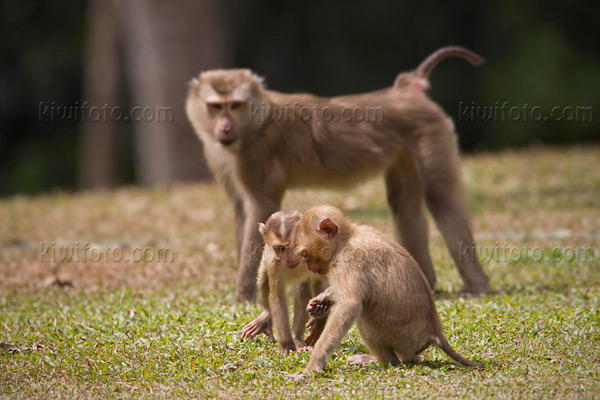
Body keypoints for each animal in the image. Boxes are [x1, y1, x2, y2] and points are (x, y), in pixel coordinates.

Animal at [186, 45, 488, 302]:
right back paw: (425, 282)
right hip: (404, 148)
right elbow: (241, 211)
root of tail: (406, 90)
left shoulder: (258, 154)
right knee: (405, 206)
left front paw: (245, 297)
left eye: (235, 105)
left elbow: (261, 208)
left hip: (429, 131)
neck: (255, 123)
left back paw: (476, 285)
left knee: (442, 199)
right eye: (216, 107)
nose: (225, 128)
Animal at [240, 211, 330, 352]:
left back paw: (297, 337)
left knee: (303, 287)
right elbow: (277, 297)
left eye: (295, 246)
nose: (289, 259)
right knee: (263, 282)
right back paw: (267, 317)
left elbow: (320, 282)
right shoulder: (273, 262)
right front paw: (287, 346)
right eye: (280, 248)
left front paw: (320, 316)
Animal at [292, 205, 486, 374]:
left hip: (403, 337)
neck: (346, 239)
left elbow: (349, 305)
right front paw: (322, 300)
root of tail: (433, 332)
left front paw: (312, 368)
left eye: (305, 254)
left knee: (365, 313)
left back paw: (384, 361)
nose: (308, 267)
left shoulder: (349, 260)